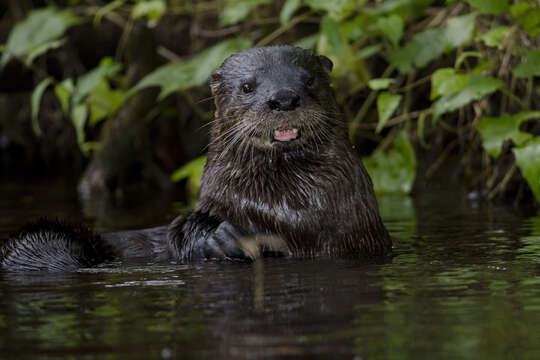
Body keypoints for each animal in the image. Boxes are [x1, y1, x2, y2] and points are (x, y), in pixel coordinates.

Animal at [0, 45, 388, 272]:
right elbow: (183, 228)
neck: (287, 212)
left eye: (308, 80)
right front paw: (220, 237)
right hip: (40, 242)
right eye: (247, 86)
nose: (283, 97)